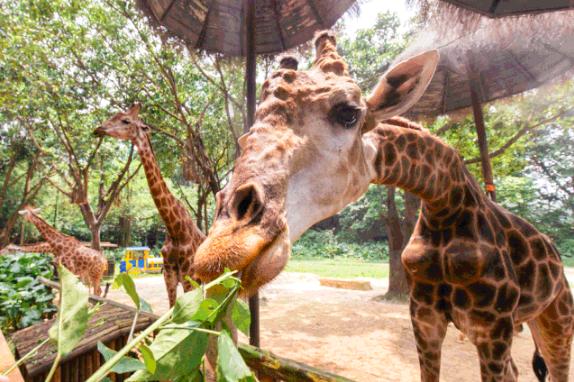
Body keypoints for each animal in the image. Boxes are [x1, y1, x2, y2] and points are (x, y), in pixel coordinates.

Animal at [192, 32, 572, 382]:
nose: (220, 249)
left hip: (556, 318)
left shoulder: (491, 327)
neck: (445, 205)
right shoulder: (425, 318)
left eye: (349, 113)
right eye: (245, 137)